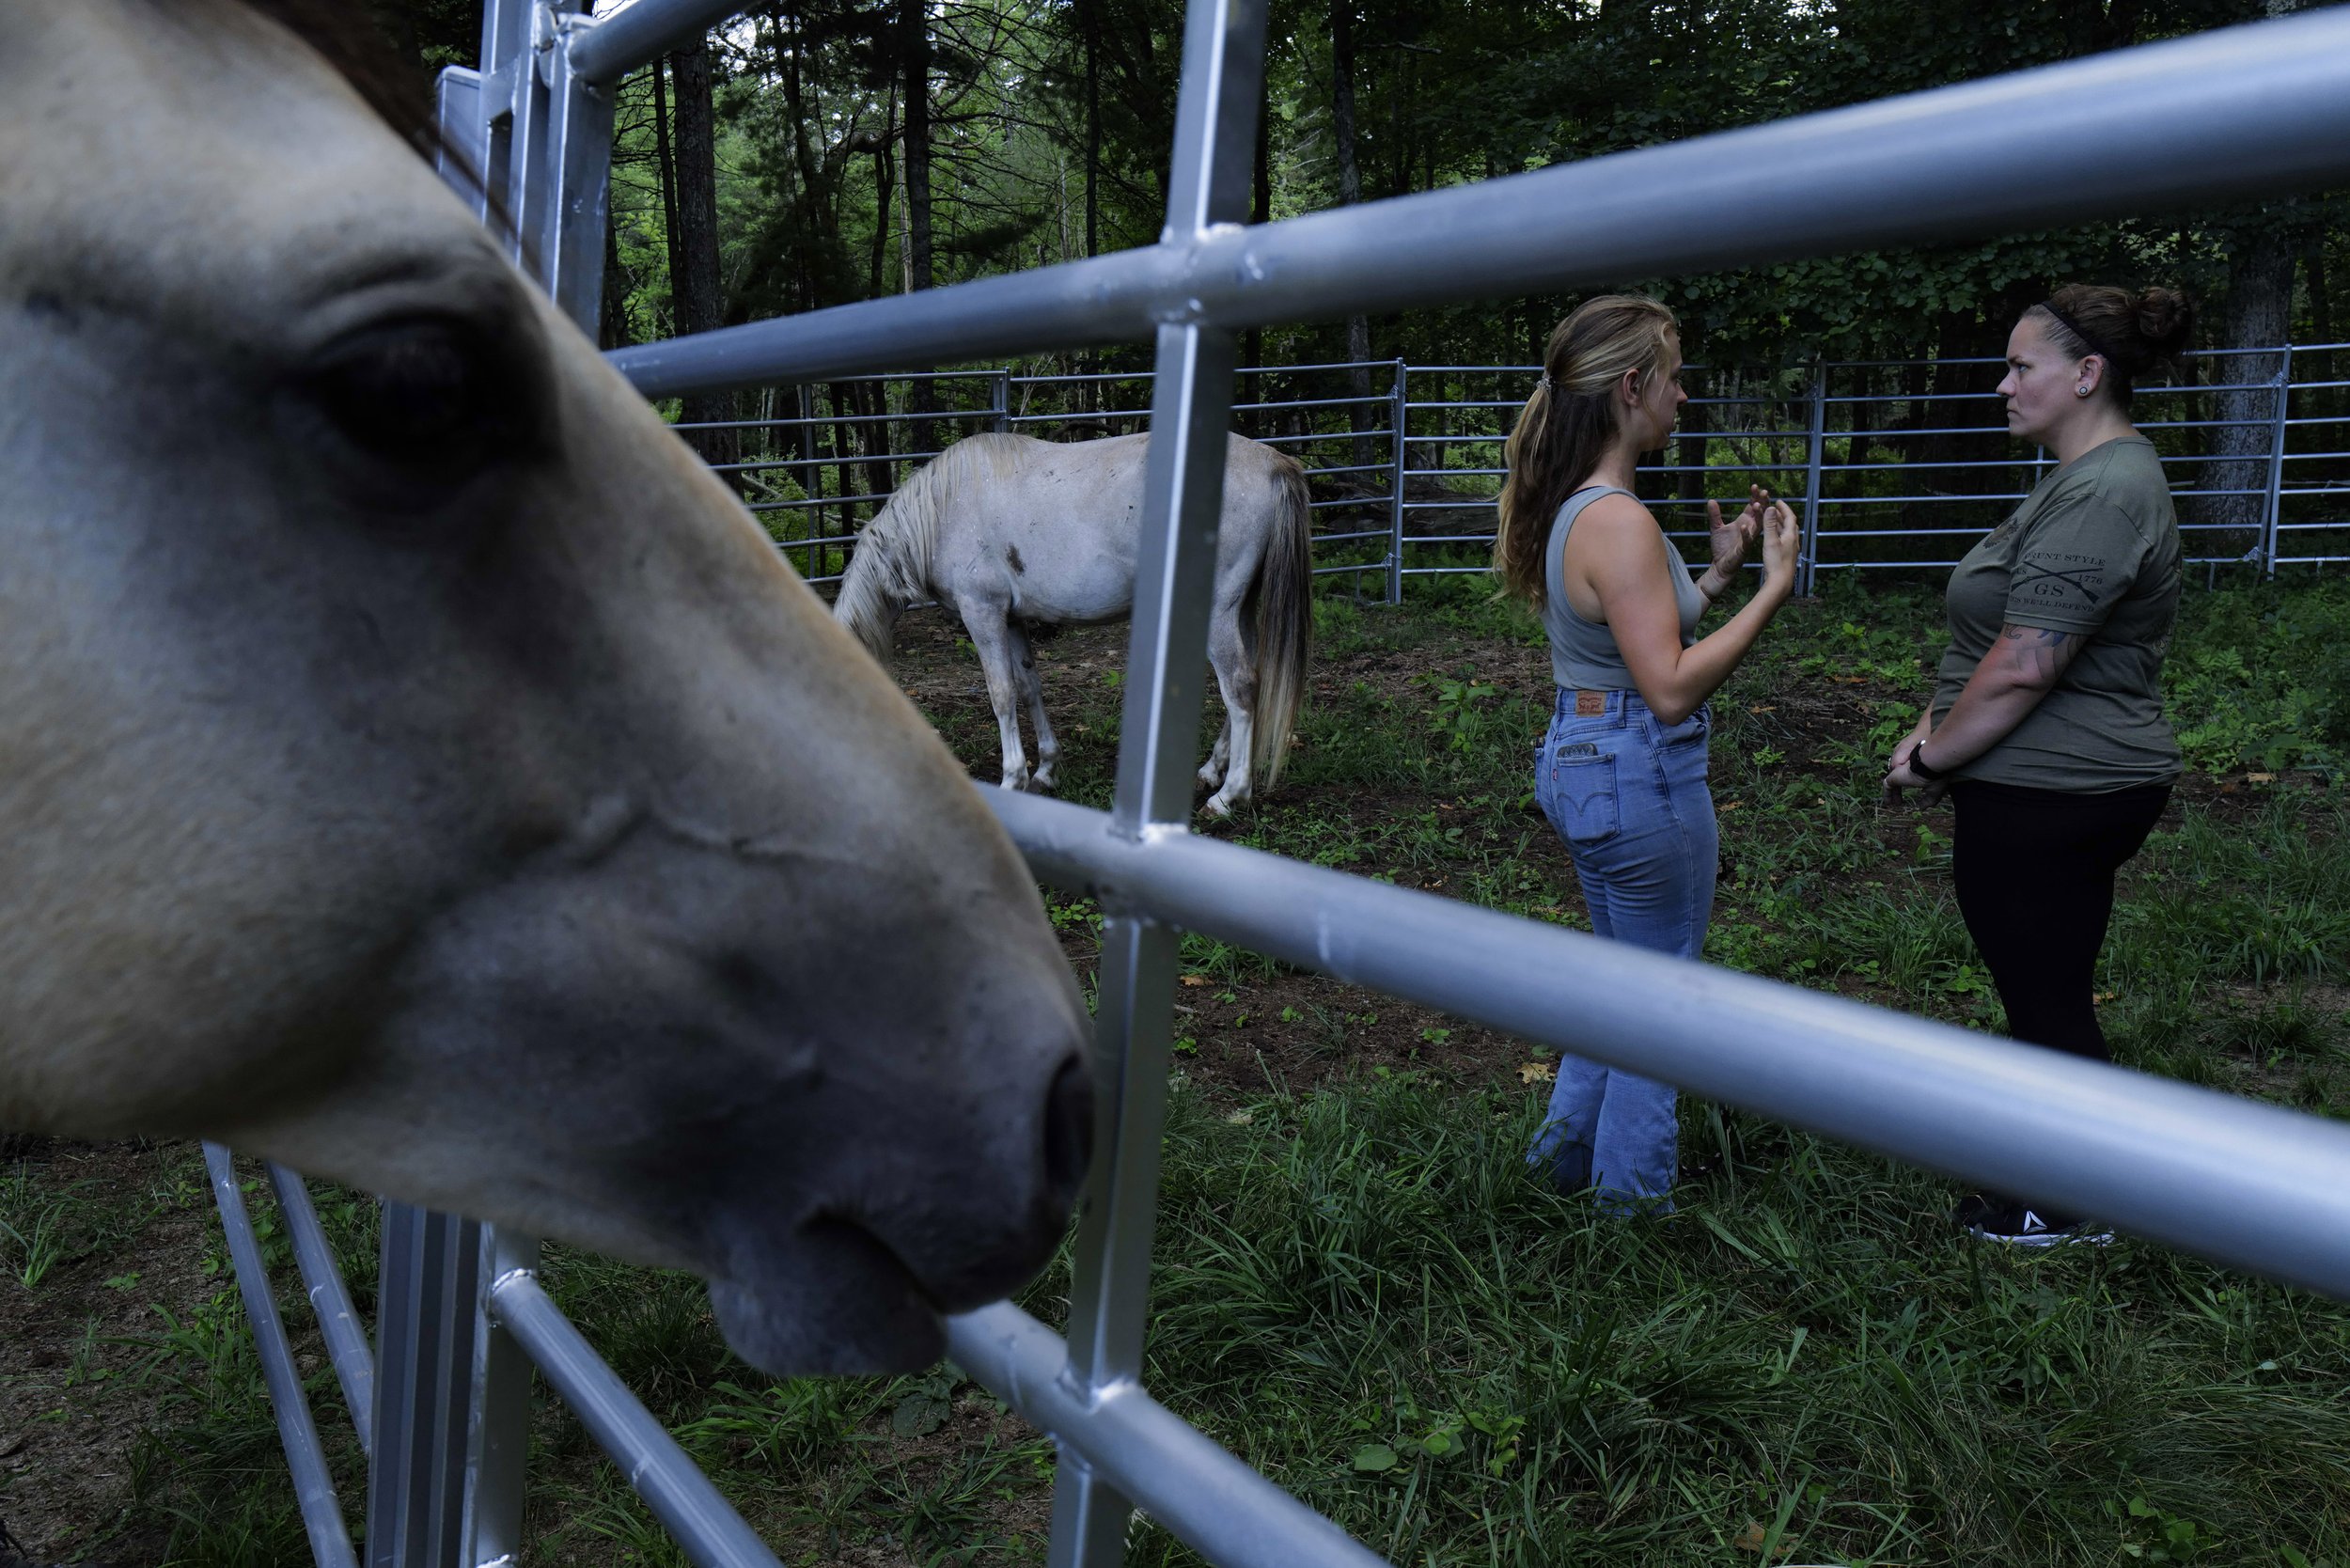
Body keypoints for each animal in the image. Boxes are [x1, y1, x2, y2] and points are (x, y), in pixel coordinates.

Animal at [832, 432, 1316, 823]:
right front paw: (1046, 769)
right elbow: (1028, 687)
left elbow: (1001, 693)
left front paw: (1012, 779)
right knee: (1250, 681)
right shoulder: (1011, 618)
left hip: (1217, 614)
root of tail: (1274, 463)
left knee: (1239, 687)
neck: (942, 509)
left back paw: (1229, 796)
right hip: (1240, 609)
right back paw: (1211, 771)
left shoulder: (982, 612)